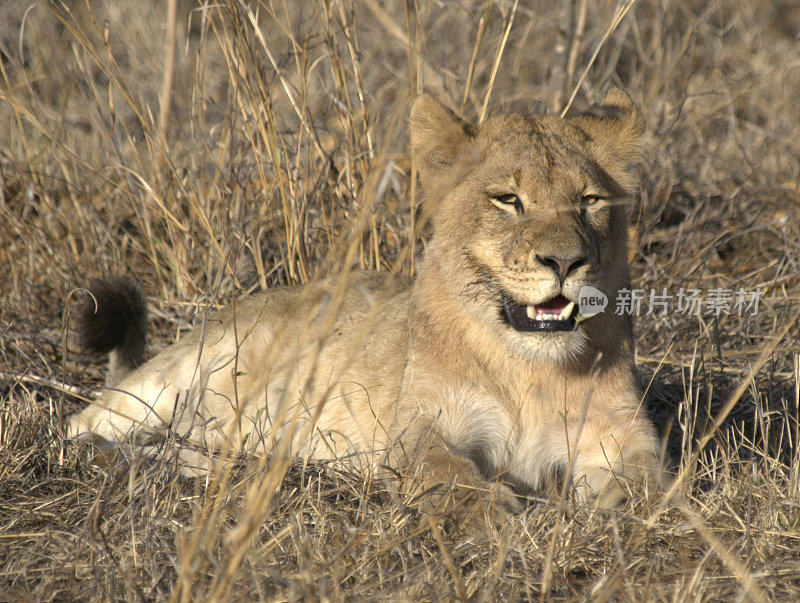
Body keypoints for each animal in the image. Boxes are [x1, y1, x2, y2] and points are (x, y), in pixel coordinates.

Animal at [67, 88, 664, 516]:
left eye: (589, 200)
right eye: (508, 200)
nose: (564, 262)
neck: (530, 370)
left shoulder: (622, 432)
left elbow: (653, 481)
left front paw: (616, 508)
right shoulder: (421, 425)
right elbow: (444, 471)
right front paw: (494, 510)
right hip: (166, 379)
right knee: (77, 423)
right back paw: (106, 452)